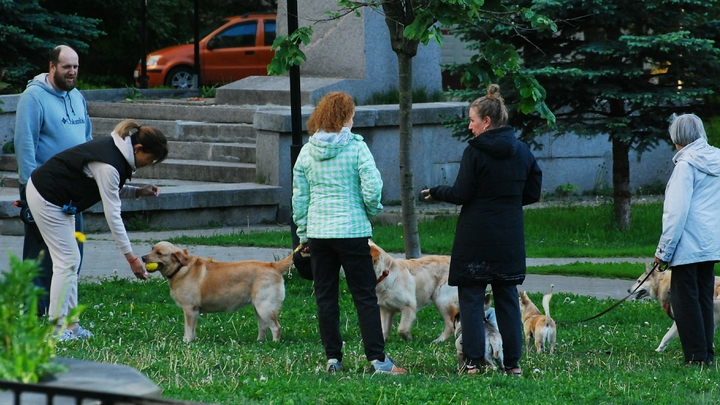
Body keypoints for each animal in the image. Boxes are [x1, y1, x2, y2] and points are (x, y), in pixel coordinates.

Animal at [141, 241, 292, 342]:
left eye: (159, 253)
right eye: (152, 249)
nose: (143, 257)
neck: (180, 268)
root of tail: (274, 265)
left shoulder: (190, 309)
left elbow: (188, 329)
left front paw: (186, 341)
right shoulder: (194, 311)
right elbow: (193, 330)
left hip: (265, 307)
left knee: (276, 327)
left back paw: (274, 344)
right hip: (259, 308)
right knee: (263, 327)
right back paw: (259, 342)